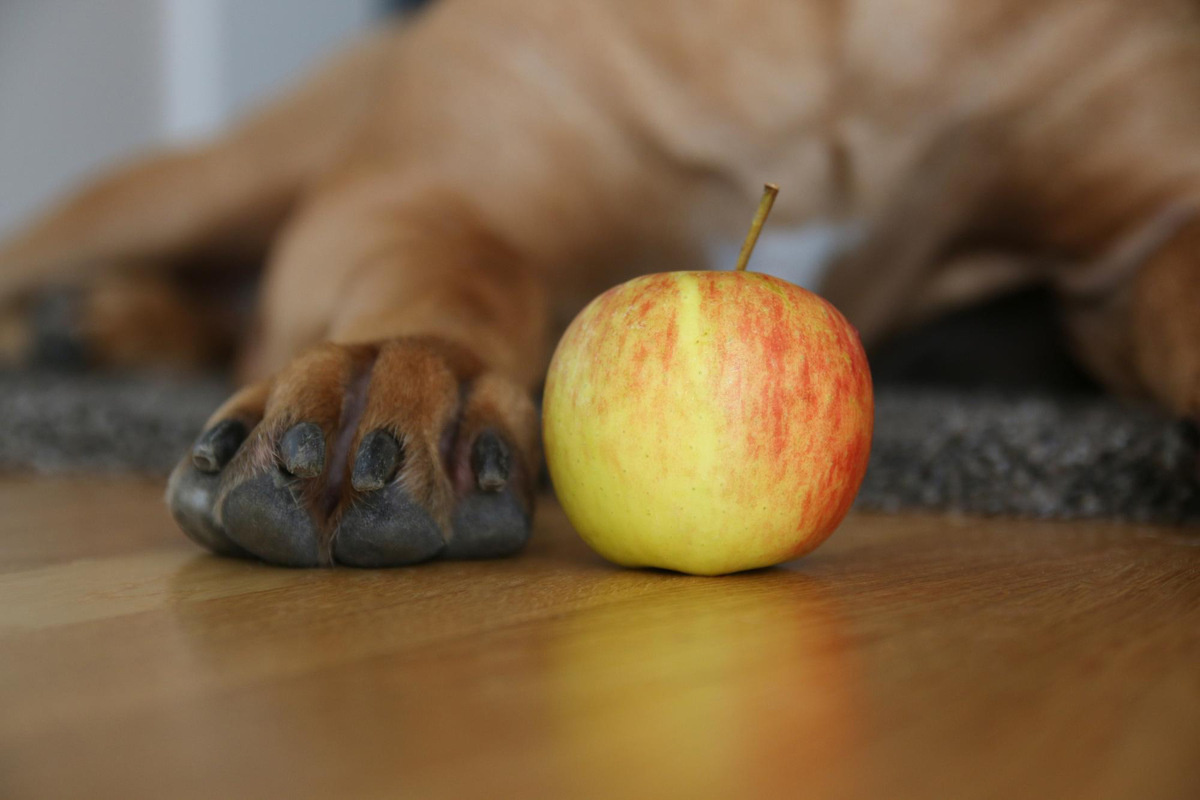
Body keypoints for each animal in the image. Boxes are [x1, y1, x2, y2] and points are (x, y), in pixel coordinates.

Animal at [2, 0, 1200, 566]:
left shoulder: (1147, 219)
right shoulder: (420, 190)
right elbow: (455, 273)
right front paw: (398, 383)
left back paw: (103, 324)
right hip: (215, 176)